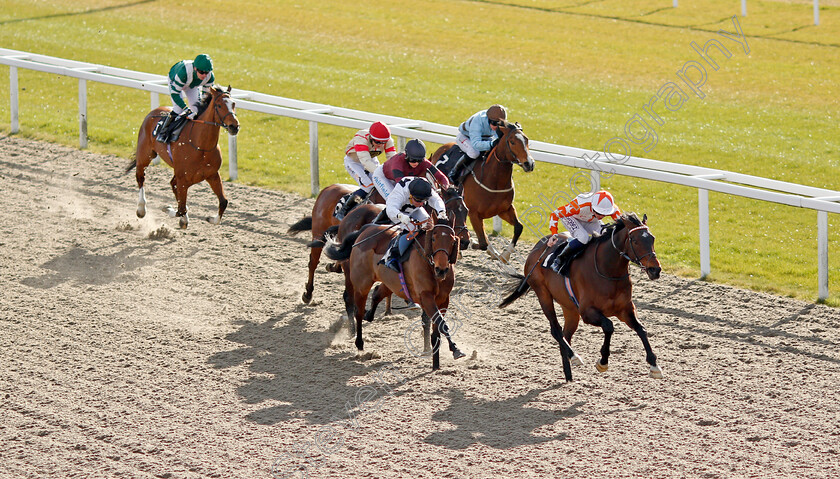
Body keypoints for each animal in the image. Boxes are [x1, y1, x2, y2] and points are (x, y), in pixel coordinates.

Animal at [127, 85, 240, 230]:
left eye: (233, 104)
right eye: (219, 105)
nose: (234, 126)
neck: (200, 146)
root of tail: (154, 111)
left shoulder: (212, 175)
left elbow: (223, 201)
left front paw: (210, 218)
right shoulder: (183, 178)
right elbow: (180, 208)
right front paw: (168, 208)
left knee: (173, 185)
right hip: (145, 155)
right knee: (141, 177)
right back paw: (141, 209)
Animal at [324, 215, 466, 372]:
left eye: (452, 240)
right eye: (433, 239)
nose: (441, 269)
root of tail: (365, 229)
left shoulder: (443, 299)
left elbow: (437, 328)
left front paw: (436, 360)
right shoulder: (426, 297)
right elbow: (441, 324)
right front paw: (455, 349)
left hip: (390, 284)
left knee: (377, 294)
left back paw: (369, 315)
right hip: (361, 285)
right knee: (358, 312)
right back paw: (359, 343)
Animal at [430, 120, 536, 262]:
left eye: (526, 140)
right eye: (512, 142)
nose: (529, 164)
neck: (494, 181)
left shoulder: (504, 210)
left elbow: (519, 227)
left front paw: (504, 255)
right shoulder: (474, 214)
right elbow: (483, 242)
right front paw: (474, 243)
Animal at [498, 214, 664, 382]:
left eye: (652, 239)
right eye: (635, 240)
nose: (655, 270)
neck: (608, 271)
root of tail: (536, 248)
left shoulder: (625, 309)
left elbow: (641, 329)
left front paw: (654, 366)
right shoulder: (587, 312)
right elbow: (609, 326)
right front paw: (603, 362)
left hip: (569, 308)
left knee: (566, 334)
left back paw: (569, 375)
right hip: (543, 294)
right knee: (556, 330)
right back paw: (574, 357)